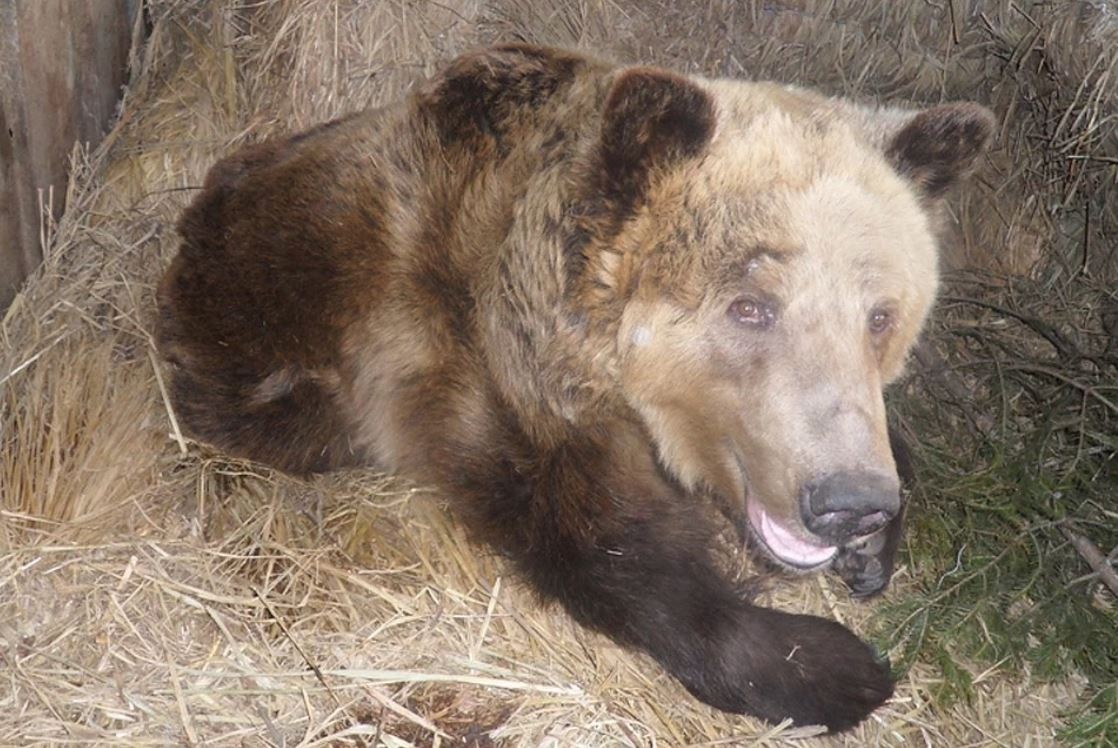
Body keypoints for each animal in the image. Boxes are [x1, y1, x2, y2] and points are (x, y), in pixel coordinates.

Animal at [155, 45, 997, 728]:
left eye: (880, 314)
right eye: (751, 305)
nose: (850, 501)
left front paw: (876, 548)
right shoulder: (471, 367)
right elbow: (603, 546)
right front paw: (833, 667)